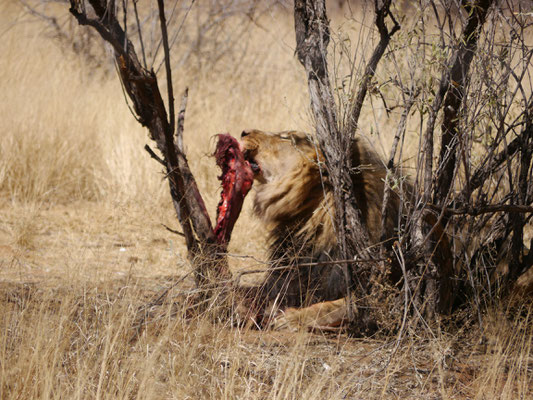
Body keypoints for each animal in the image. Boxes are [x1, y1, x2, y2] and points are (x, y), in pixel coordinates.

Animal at [239, 130, 450, 330]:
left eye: (286, 137)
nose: (243, 132)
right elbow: (253, 292)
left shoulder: (381, 295)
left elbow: (333, 307)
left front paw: (291, 318)